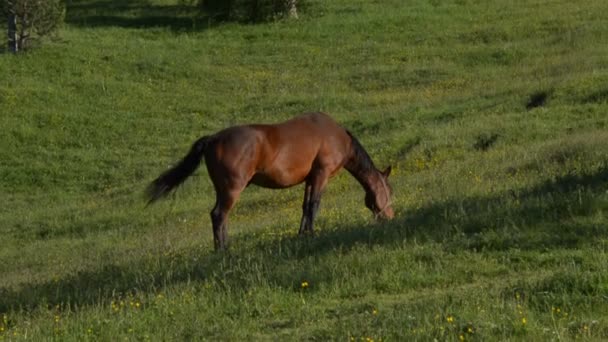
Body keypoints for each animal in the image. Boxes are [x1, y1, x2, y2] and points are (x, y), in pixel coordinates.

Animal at [147, 112, 394, 248]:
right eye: (390, 192)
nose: (390, 216)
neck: (337, 137)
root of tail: (211, 140)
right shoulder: (321, 174)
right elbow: (314, 205)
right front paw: (312, 234)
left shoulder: (309, 178)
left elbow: (305, 207)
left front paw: (302, 234)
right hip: (232, 188)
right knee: (219, 215)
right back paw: (222, 250)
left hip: (222, 189)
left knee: (221, 216)